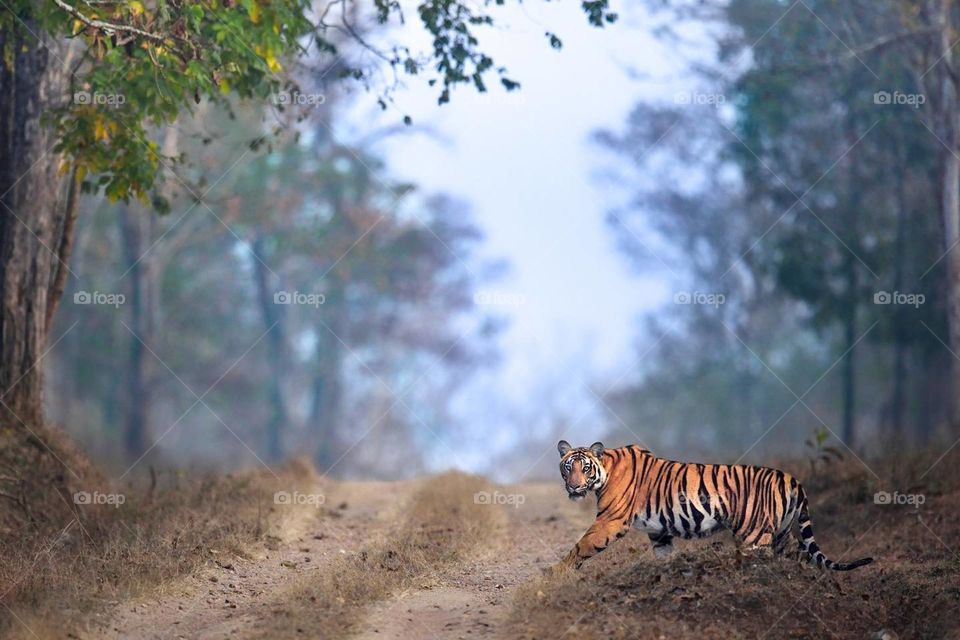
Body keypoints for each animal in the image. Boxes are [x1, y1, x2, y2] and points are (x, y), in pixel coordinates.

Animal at [556, 440, 873, 571]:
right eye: (568, 468)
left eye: (584, 468)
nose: (573, 486)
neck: (605, 470)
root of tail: (792, 478)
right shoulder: (660, 532)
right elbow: (664, 556)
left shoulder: (610, 520)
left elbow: (581, 546)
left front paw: (557, 573)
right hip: (782, 533)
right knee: (798, 556)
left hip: (755, 535)